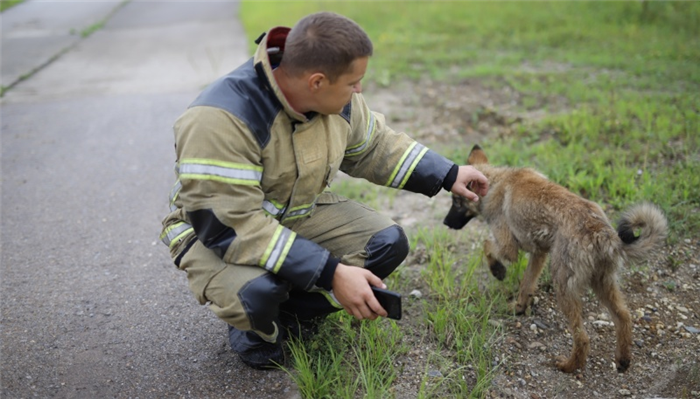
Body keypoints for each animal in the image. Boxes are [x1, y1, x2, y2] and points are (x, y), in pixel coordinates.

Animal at [446, 145, 668, 376]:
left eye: (456, 202)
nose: (445, 222)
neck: (496, 181)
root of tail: (602, 234)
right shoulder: (539, 253)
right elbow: (526, 284)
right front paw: (519, 307)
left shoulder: (510, 248)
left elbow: (487, 245)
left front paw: (497, 270)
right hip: (603, 283)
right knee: (623, 317)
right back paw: (623, 359)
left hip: (564, 286)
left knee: (583, 337)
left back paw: (569, 366)